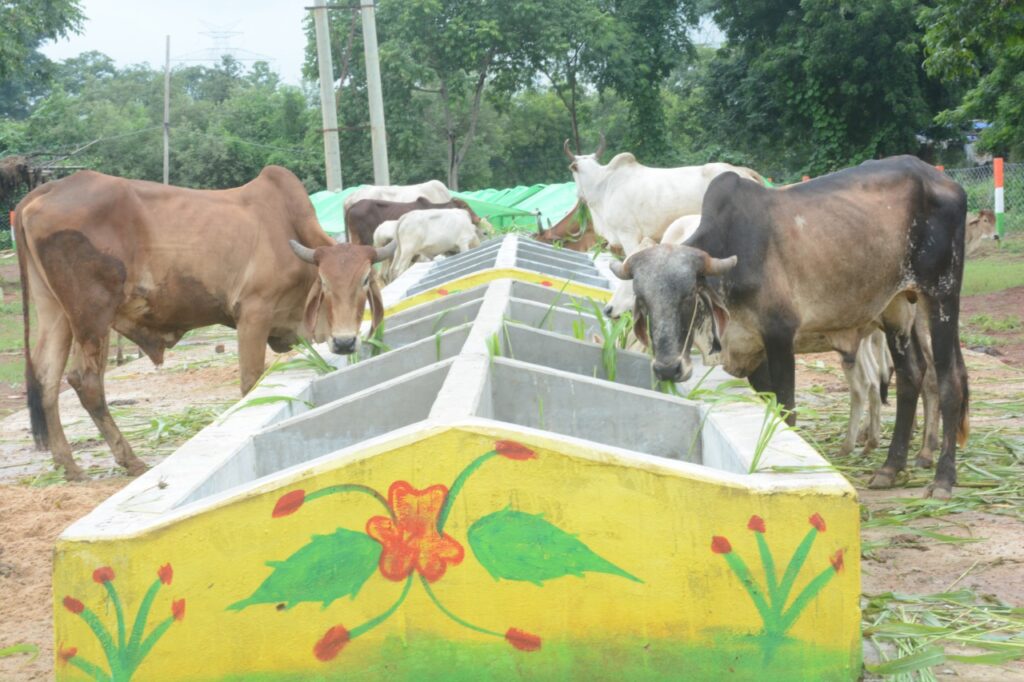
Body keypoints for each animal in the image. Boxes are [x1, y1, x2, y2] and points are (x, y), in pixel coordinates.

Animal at [14, 165, 395, 477]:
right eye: (325, 283)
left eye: (364, 280)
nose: (345, 341)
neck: (288, 228)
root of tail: (45, 191)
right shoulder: (252, 314)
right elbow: (250, 381)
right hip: (92, 313)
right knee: (85, 380)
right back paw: (130, 460)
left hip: (55, 312)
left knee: (47, 378)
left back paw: (68, 464)